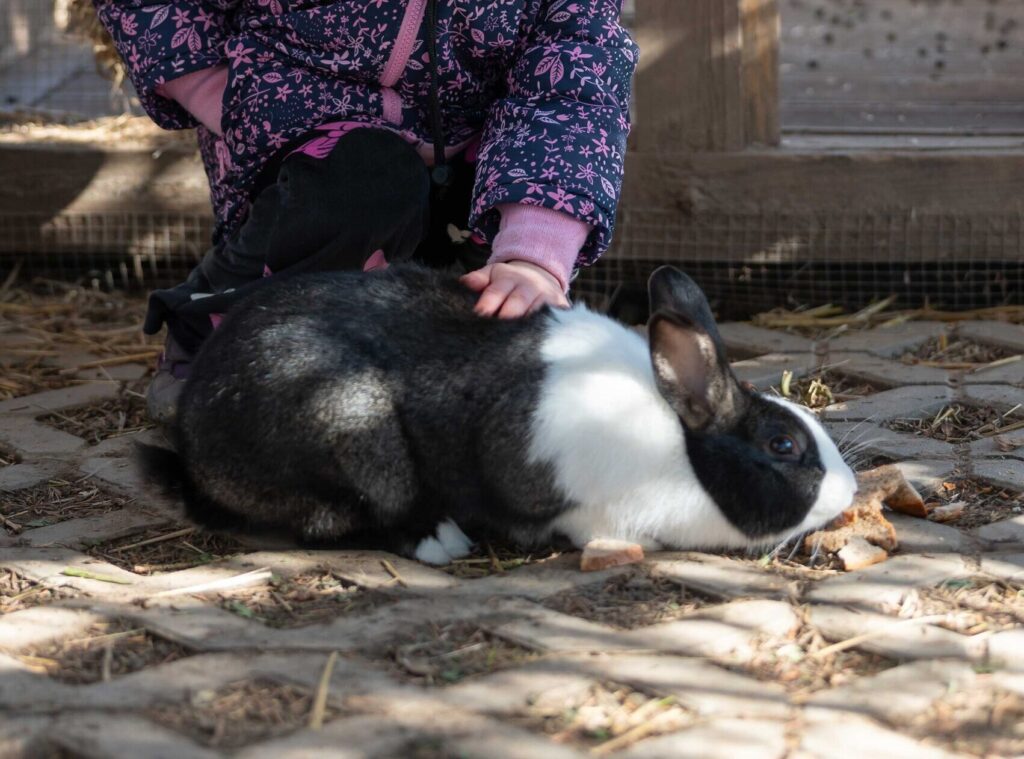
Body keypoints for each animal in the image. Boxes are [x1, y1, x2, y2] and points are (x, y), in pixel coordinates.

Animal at [138, 264, 857, 564]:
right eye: (784, 445)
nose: (849, 493)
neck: (680, 447)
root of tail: (195, 457)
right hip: (351, 425)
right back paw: (440, 539)